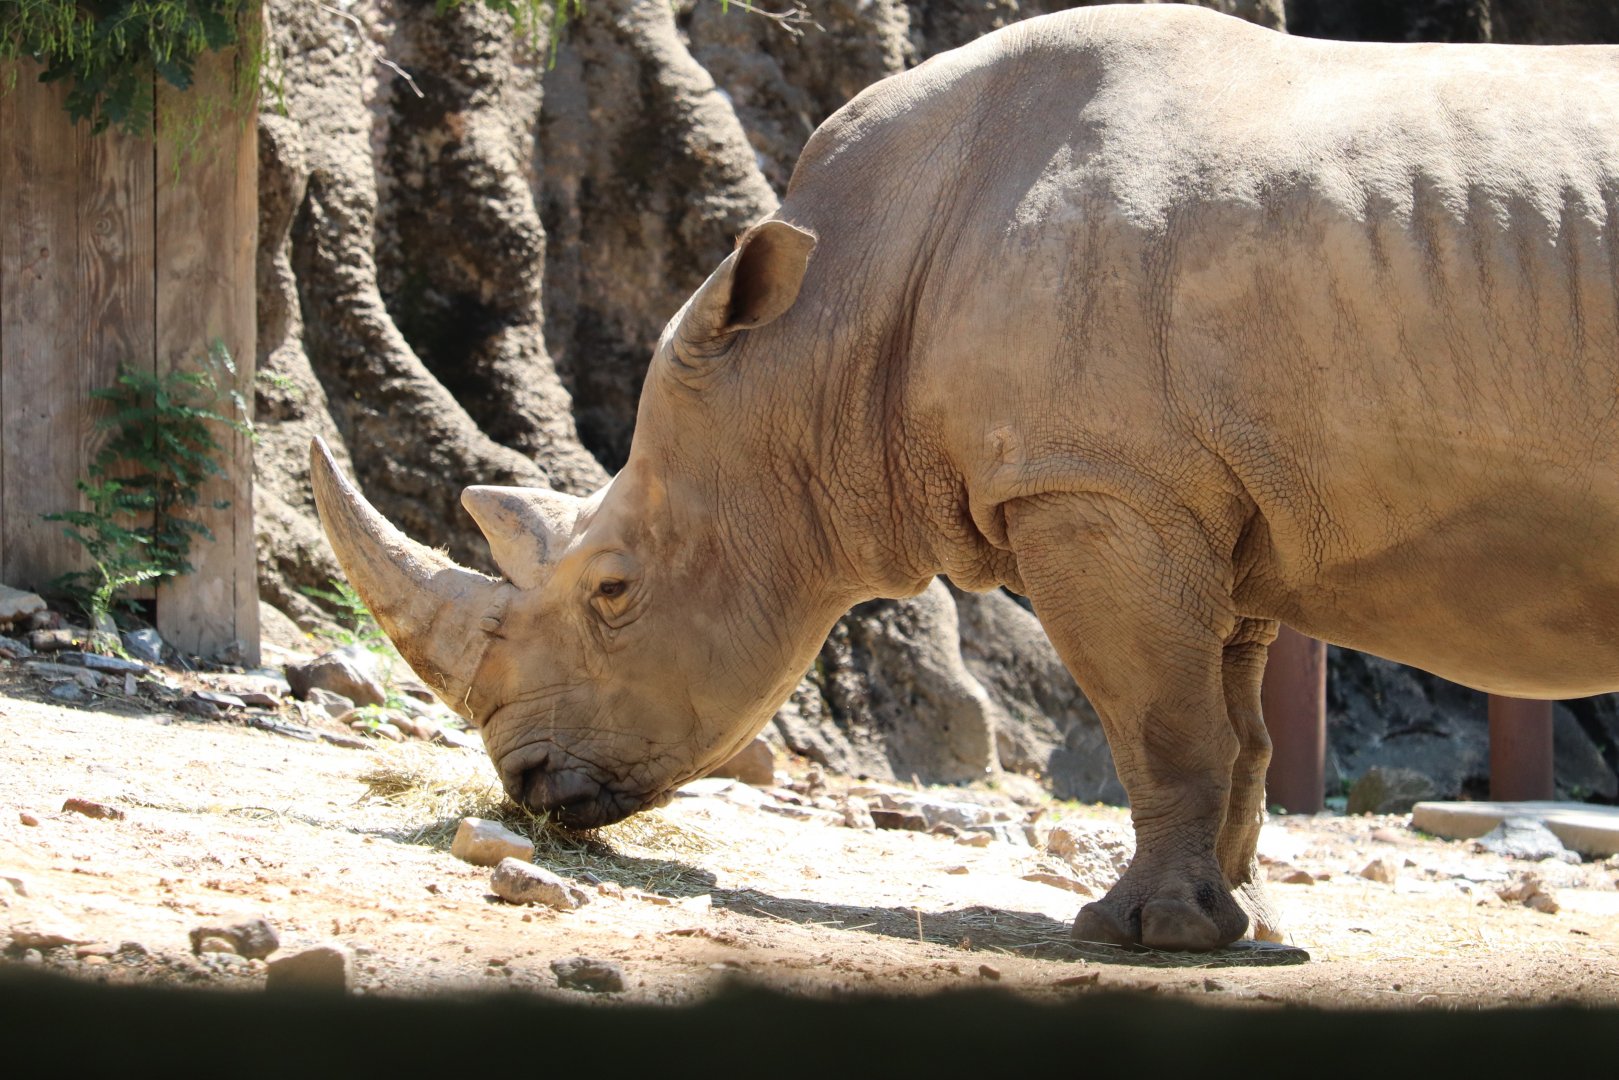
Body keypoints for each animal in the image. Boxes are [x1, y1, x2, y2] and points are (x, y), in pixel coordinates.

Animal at [311, 4, 1619, 951]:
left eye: (613, 593)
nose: (526, 783)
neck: (822, 333)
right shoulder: (1202, 498)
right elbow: (1233, 732)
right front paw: (1241, 927)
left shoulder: (1094, 485)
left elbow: (1157, 719)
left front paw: (1140, 934)